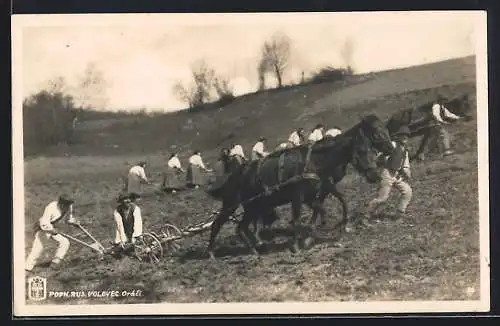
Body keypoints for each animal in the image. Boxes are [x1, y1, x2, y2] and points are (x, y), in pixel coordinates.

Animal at [203, 113, 394, 258]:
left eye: (370, 149)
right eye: (376, 133)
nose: (374, 175)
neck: (315, 161)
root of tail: (235, 174)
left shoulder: (317, 191)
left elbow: (327, 206)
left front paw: (317, 231)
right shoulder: (300, 195)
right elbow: (298, 217)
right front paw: (298, 244)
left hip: (254, 206)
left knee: (242, 227)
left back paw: (257, 246)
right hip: (233, 205)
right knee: (219, 224)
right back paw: (212, 252)